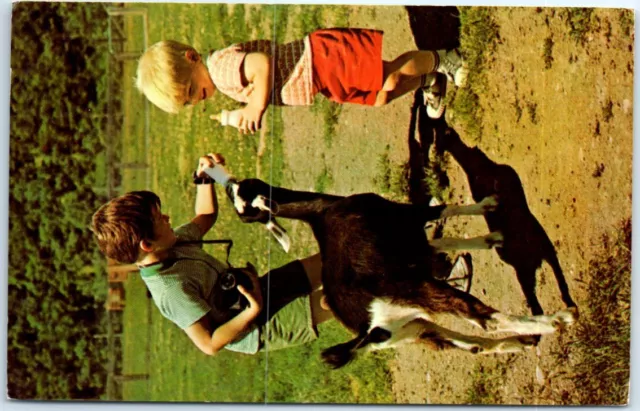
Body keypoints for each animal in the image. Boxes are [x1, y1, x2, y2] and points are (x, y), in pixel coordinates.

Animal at [224, 179, 576, 368]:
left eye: (242, 194)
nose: (228, 183)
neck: (322, 212)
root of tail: (368, 329)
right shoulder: (407, 217)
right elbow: (443, 210)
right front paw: (489, 206)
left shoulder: (407, 244)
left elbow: (441, 241)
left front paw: (492, 238)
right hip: (423, 293)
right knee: (484, 319)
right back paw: (557, 320)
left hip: (413, 329)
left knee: (472, 345)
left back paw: (524, 342)